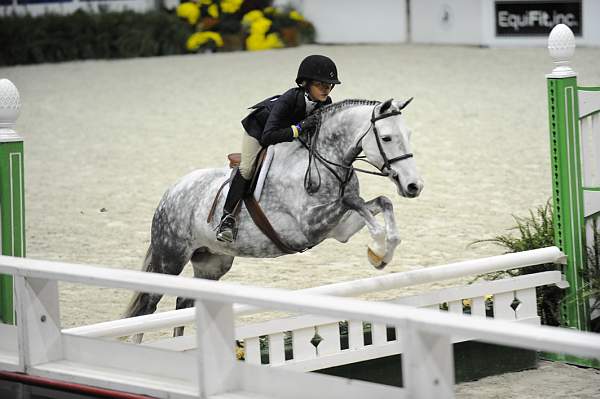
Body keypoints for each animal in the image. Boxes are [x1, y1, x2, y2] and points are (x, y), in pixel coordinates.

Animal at [123, 97, 422, 340]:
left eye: (408, 134)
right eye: (387, 138)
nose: (414, 186)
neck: (324, 161)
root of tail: (170, 192)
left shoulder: (339, 229)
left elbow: (381, 202)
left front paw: (382, 254)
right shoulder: (309, 225)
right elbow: (354, 202)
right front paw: (378, 247)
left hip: (211, 263)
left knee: (184, 304)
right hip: (170, 257)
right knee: (147, 307)